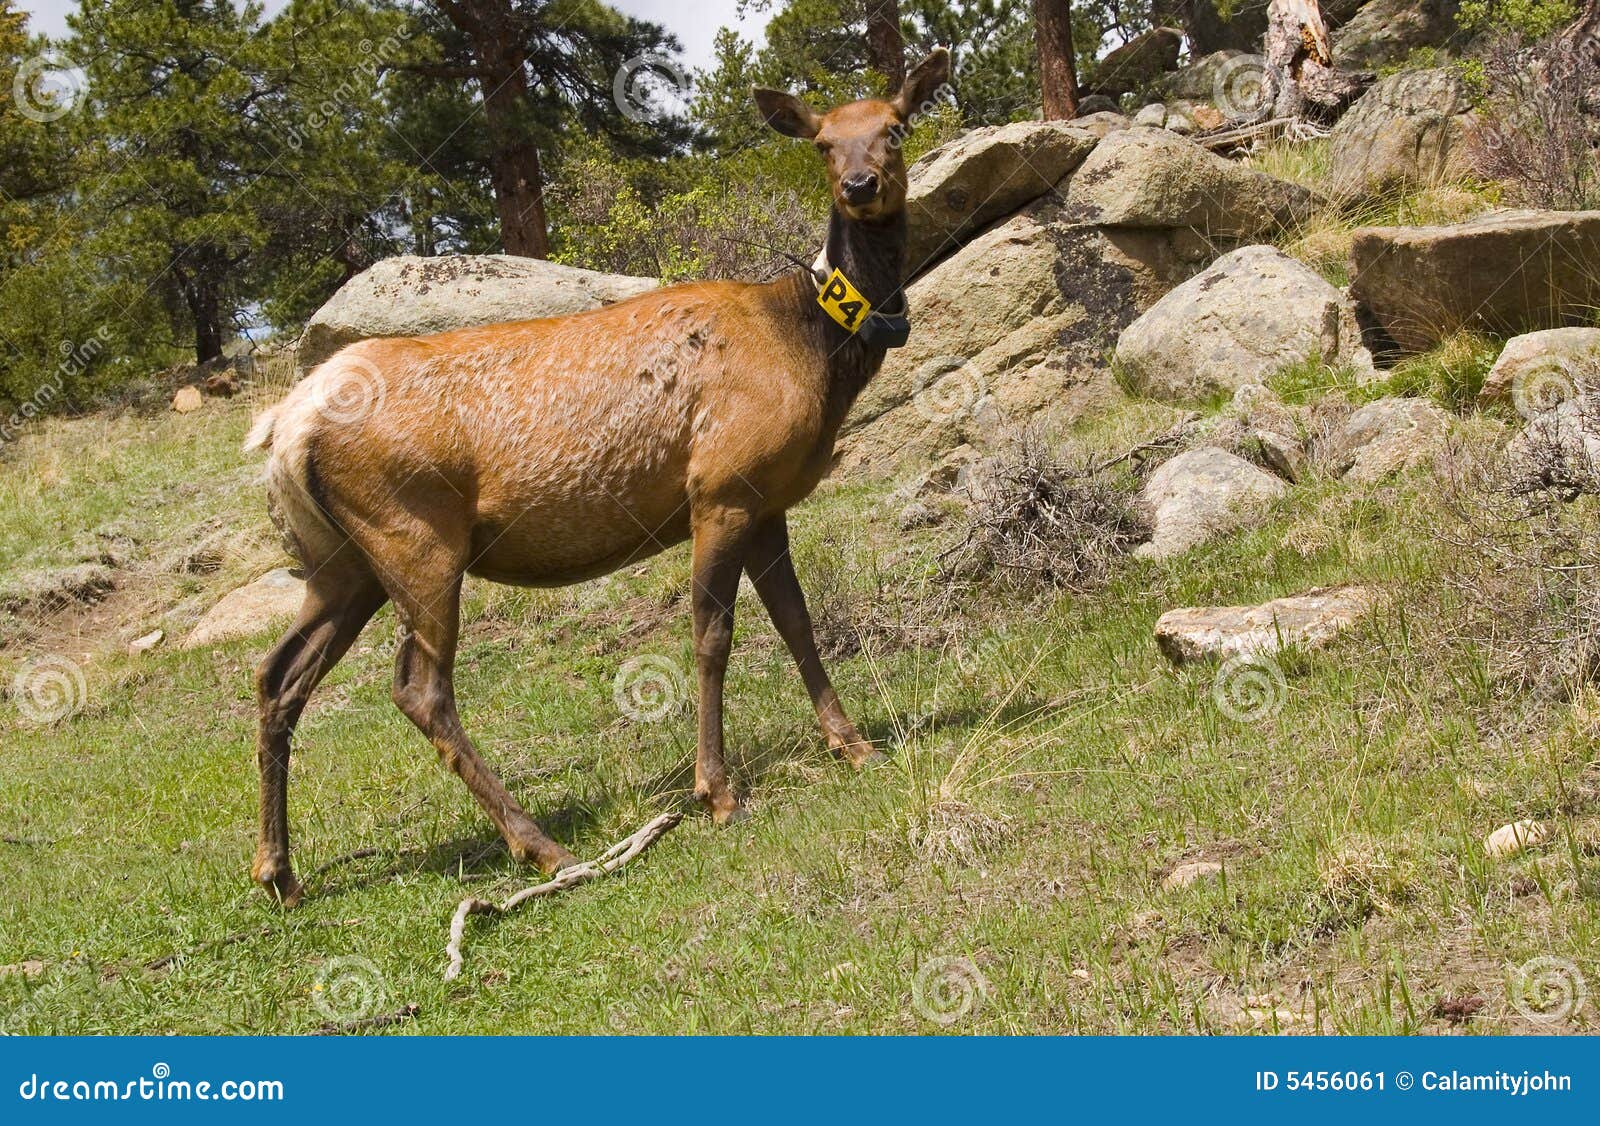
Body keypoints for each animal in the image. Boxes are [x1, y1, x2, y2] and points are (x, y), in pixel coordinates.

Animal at [243, 48, 952, 906]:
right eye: (822, 142)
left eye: (894, 127)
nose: (859, 184)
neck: (814, 350)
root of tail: (287, 429)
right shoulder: (720, 487)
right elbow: (712, 635)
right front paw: (717, 792)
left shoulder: (768, 501)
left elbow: (798, 622)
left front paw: (851, 745)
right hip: (414, 535)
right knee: (418, 686)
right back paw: (539, 845)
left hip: (341, 561)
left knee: (278, 674)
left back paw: (279, 872)